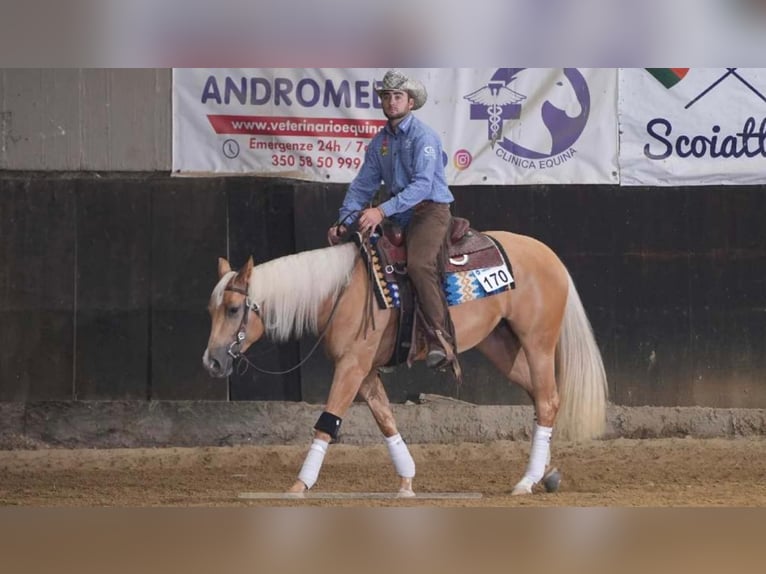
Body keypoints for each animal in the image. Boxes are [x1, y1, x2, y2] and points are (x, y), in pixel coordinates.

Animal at [201, 232, 608, 498]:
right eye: (211, 309)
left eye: (234, 309)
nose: (212, 362)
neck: (340, 291)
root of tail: (550, 256)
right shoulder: (364, 371)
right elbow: (386, 420)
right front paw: (407, 481)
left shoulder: (351, 366)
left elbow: (327, 421)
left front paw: (300, 484)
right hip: (501, 346)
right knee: (543, 400)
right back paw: (544, 474)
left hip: (538, 344)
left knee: (547, 400)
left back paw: (526, 481)